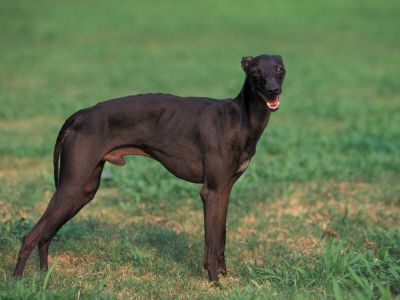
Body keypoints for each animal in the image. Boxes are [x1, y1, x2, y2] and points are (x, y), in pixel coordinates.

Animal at [14, 54, 286, 286]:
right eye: (255, 72)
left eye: (279, 69)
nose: (273, 90)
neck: (239, 119)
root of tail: (78, 115)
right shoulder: (210, 192)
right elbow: (210, 243)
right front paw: (214, 282)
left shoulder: (225, 190)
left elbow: (221, 237)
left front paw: (224, 275)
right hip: (71, 187)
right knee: (30, 236)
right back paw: (17, 280)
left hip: (84, 190)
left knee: (45, 236)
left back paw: (44, 275)